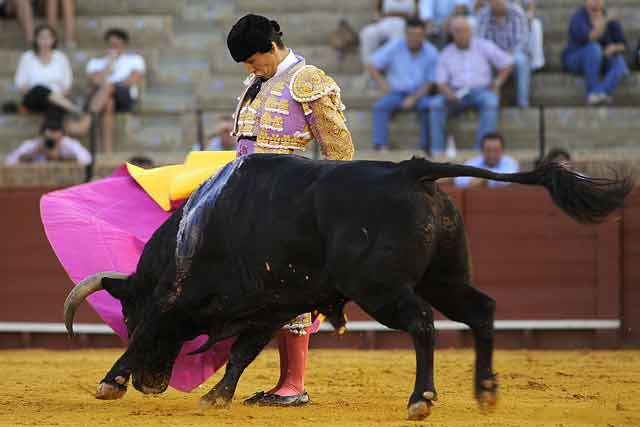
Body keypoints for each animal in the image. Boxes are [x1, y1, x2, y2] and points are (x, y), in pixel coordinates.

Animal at [62, 155, 632, 422]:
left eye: (127, 313)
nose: (152, 385)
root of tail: (412, 170)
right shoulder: (271, 305)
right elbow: (243, 353)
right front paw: (217, 397)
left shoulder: (178, 300)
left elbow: (156, 334)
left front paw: (110, 382)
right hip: (445, 278)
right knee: (483, 310)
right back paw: (486, 391)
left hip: (381, 289)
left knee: (422, 322)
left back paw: (421, 399)